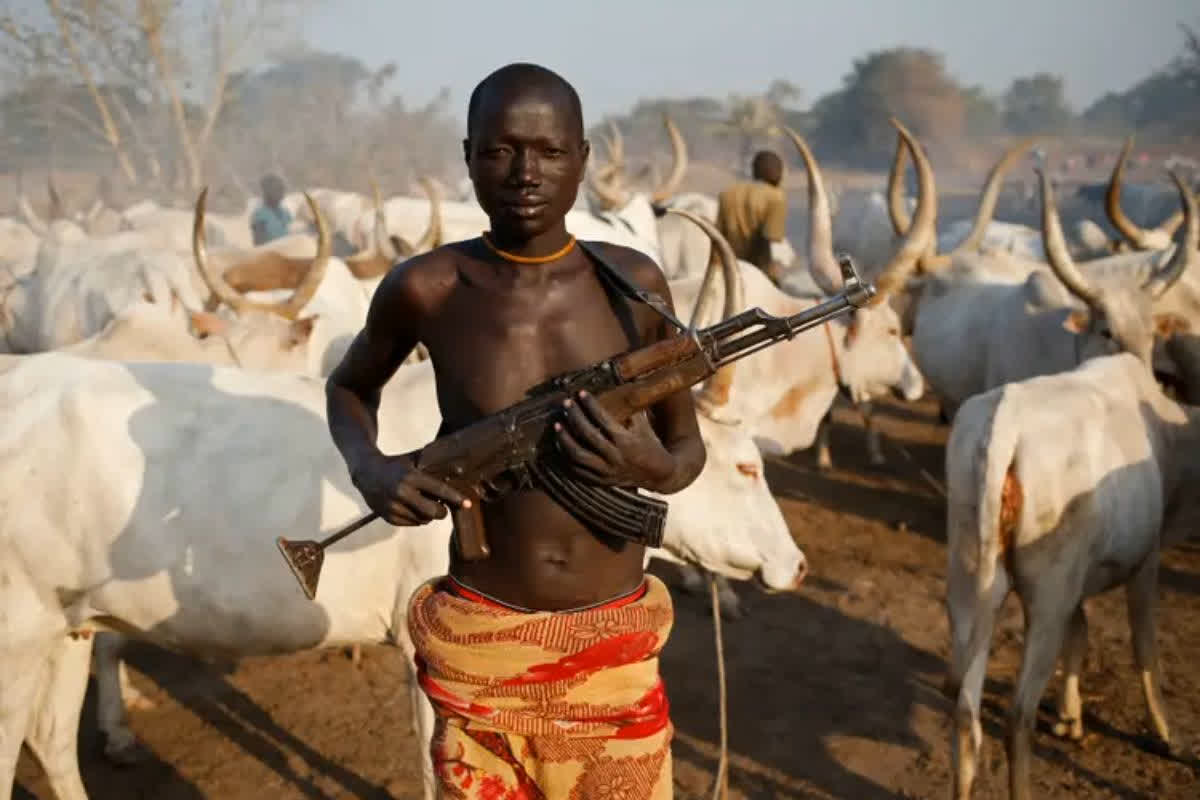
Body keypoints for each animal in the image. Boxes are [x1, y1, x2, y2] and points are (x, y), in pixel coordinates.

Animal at [943, 352, 1200, 800]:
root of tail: (1004, 422)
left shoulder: (1075, 585)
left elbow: (1079, 631)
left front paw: (1070, 719)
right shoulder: (1145, 559)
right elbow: (1144, 647)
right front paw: (1172, 738)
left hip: (970, 583)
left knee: (964, 709)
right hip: (1047, 597)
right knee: (1017, 717)